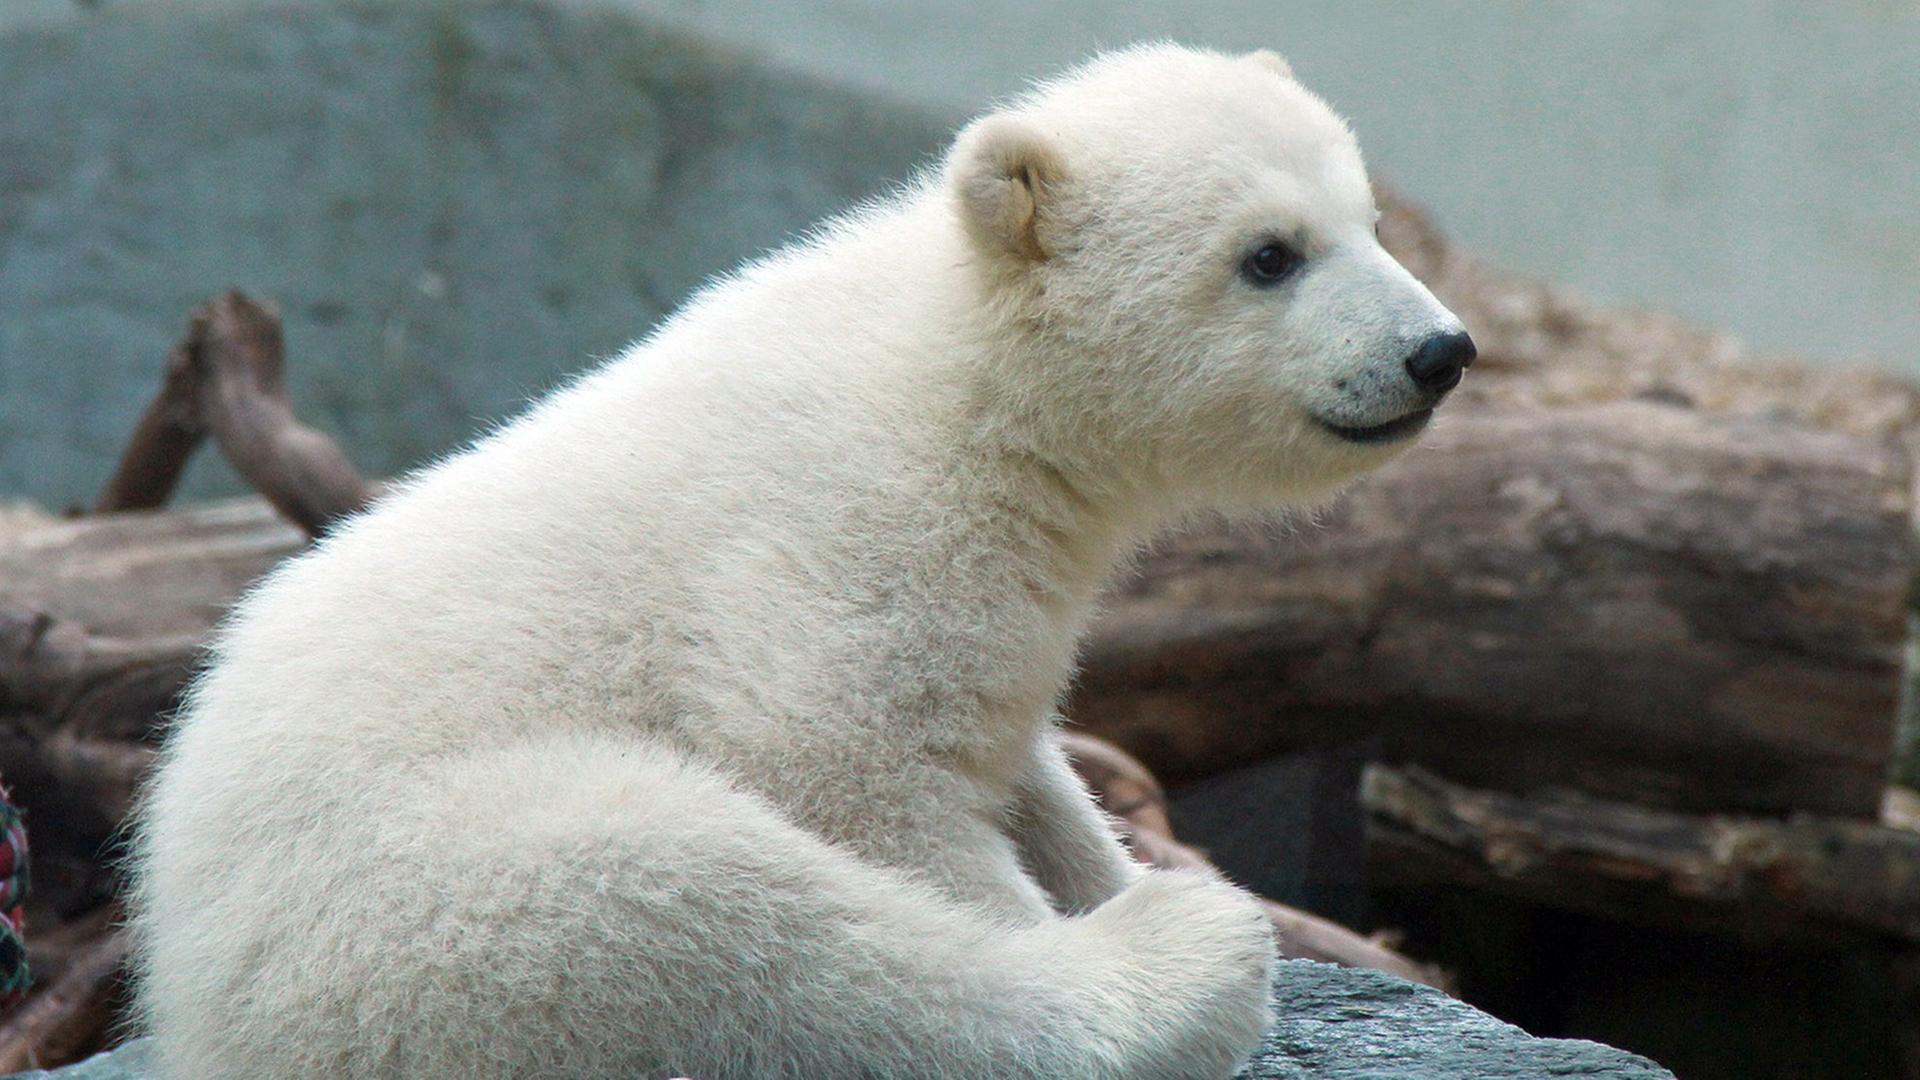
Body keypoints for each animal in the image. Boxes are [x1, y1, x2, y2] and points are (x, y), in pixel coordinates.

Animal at [131, 42, 1466, 1076]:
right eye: (1268, 255)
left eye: (1370, 223)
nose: (1439, 352)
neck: (967, 381)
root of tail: (184, 985)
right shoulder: (840, 539)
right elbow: (847, 761)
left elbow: (1018, 758)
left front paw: (1104, 864)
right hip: (397, 924)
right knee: (699, 904)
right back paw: (1179, 967)